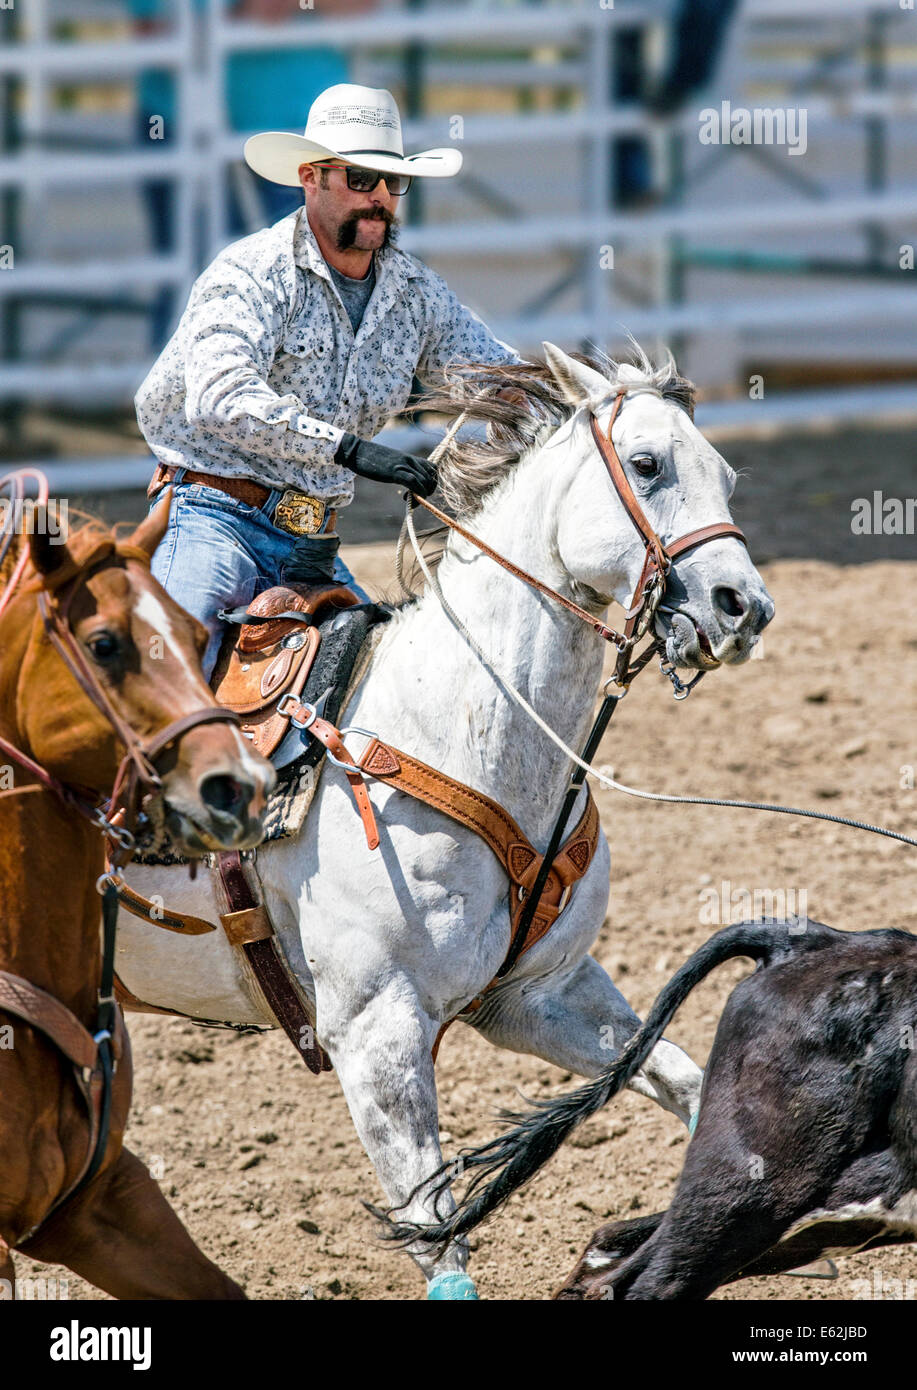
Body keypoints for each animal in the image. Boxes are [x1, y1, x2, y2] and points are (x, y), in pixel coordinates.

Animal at [115, 344, 774, 1297]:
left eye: (723, 473)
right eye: (647, 464)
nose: (742, 607)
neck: (450, 728)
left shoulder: (542, 995)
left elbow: (683, 1083)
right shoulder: (375, 1034)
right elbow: (435, 1229)